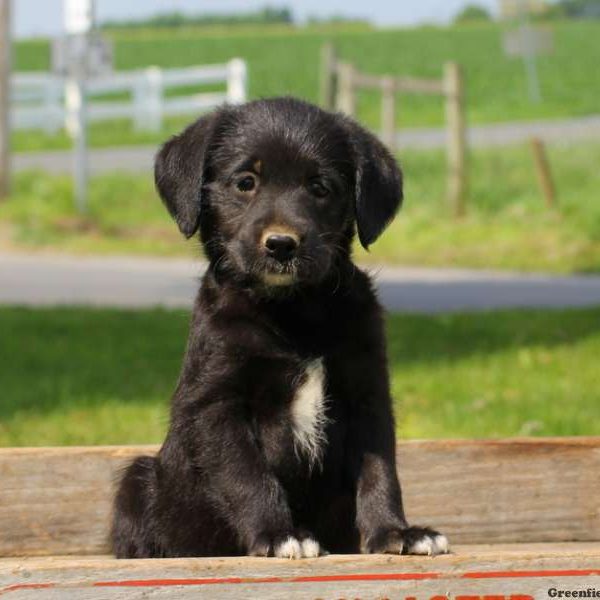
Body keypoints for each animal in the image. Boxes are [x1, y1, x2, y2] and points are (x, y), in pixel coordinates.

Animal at [112, 96, 448, 560]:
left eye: (320, 187)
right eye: (245, 182)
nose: (281, 245)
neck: (295, 313)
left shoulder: (367, 392)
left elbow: (380, 470)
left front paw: (395, 532)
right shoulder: (217, 403)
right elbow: (248, 475)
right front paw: (277, 534)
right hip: (137, 481)